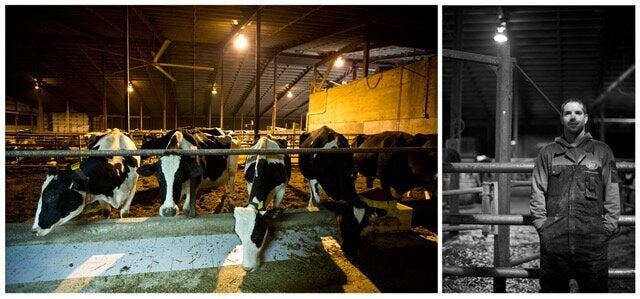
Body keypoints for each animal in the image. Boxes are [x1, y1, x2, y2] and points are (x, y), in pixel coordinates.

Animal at [298, 126, 384, 255]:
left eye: (363, 224)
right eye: (346, 221)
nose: (351, 250)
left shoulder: (352, 175)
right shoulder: (313, 177)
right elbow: (317, 196)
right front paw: (314, 205)